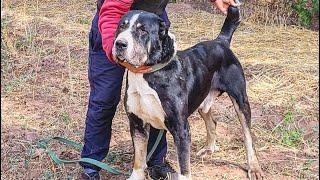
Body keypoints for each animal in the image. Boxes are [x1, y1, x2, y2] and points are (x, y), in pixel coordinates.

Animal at [112, 6, 262, 179]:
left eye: (142, 30)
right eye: (121, 27)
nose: (120, 43)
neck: (147, 73)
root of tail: (220, 41)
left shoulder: (181, 129)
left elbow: (184, 167)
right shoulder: (137, 124)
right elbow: (139, 159)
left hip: (241, 100)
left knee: (248, 136)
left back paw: (254, 168)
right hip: (202, 99)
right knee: (212, 122)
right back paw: (209, 149)